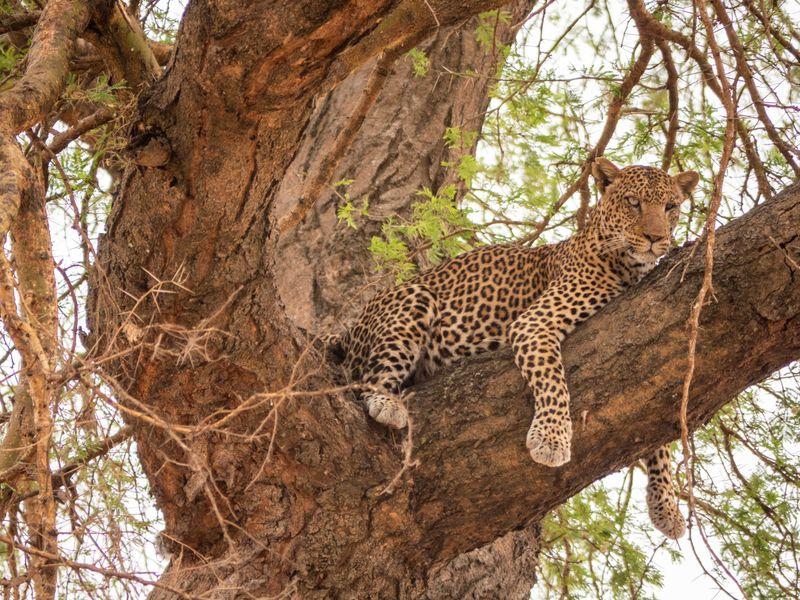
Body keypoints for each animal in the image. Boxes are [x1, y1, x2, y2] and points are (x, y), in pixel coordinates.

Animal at [328, 156, 696, 540]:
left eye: (670, 207)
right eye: (633, 203)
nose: (656, 238)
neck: (629, 266)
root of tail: (351, 328)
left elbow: (659, 433)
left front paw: (666, 504)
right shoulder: (534, 324)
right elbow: (554, 383)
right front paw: (552, 439)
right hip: (414, 298)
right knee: (366, 380)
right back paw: (386, 402)